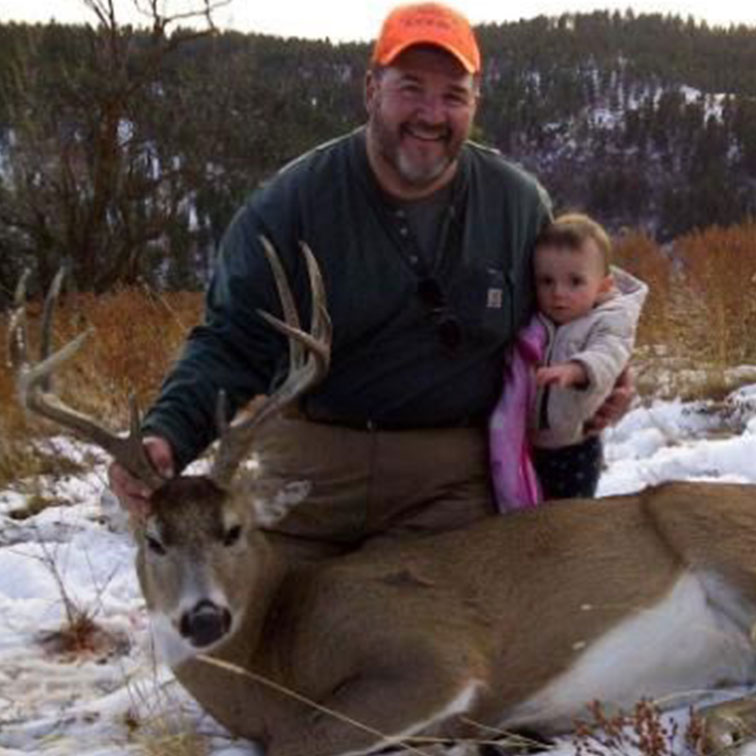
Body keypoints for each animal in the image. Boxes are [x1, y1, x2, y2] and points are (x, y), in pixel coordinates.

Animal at [9, 246, 756, 756]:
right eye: (154, 539)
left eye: (234, 529)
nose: (202, 618)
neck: (273, 657)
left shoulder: (432, 654)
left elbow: (301, 741)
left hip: (712, 532)